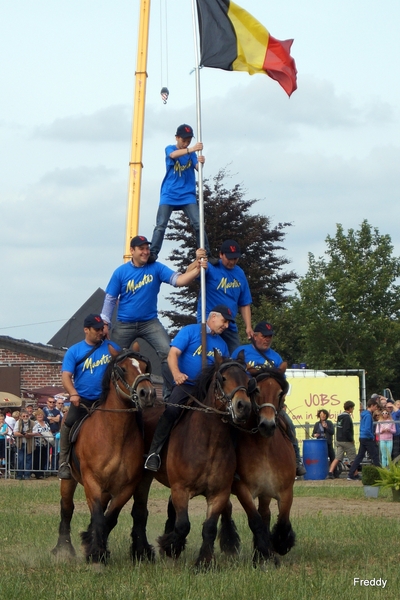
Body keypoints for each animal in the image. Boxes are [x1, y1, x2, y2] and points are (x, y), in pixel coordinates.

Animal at [52, 344, 158, 564]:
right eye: (123, 369)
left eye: (144, 366)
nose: (148, 393)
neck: (114, 435)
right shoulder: (92, 482)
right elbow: (98, 516)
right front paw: (95, 553)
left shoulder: (126, 487)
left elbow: (110, 518)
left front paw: (95, 547)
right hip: (69, 480)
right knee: (66, 509)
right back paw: (63, 549)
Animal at [130, 354, 252, 568]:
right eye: (223, 378)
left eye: (247, 380)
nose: (243, 406)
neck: (208, 442)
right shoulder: (180, 489)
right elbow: (183, 525)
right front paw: (169, 546)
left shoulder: (219, 493)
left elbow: (209, 527)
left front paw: (204, 562)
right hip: (145, 478)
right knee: (140, 511)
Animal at [220, 364, 296, 564]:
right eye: (256, 390)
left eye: (280, 393)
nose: (267, 425)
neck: (265, 449)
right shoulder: (243, 489)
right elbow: (255, 520)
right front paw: (263, 552)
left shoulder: (285, 491)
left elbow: (281, 520)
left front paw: (280, 544)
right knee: (228, 509)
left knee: (266, 514)